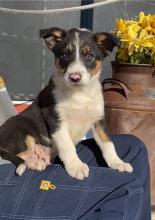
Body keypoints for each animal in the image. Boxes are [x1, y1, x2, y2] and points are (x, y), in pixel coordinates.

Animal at [0, 27, 133, 179]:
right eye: (65, 55)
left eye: (89, 56)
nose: (74, 77)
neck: (79, 94)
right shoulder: (56, 120)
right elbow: (67, 146)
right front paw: (76, 167)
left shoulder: (99, 120)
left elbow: (108, 144)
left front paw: (118, 163)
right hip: (20, 127)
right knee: (17, 153)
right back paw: (34, 162)